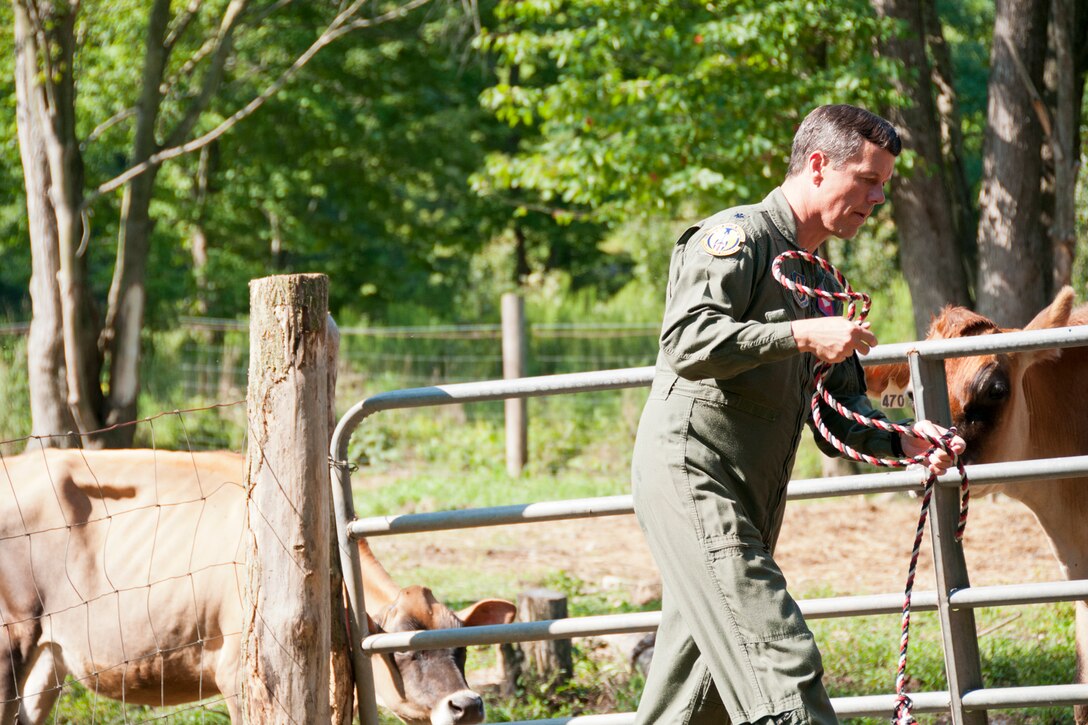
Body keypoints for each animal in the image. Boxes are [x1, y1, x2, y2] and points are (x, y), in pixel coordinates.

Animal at [0, 446, 515, 722]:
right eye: (403, 651)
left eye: (463, 647)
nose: (467, 705)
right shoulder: (240, 675)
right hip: (11, 640)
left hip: (49, 658)